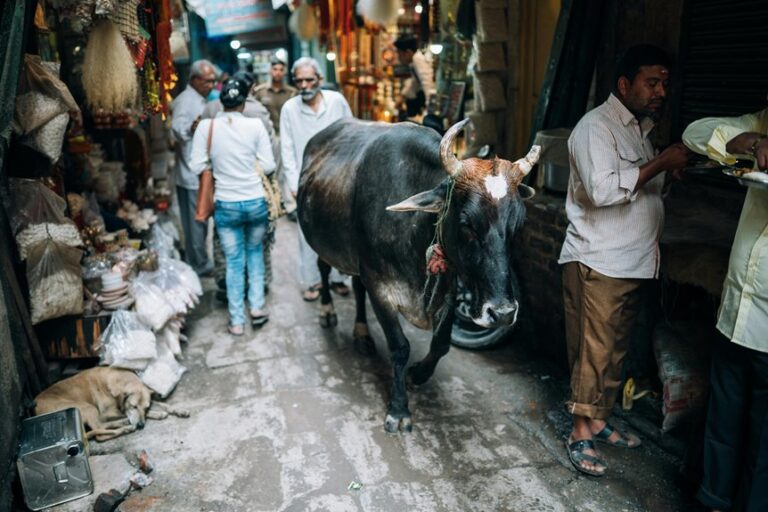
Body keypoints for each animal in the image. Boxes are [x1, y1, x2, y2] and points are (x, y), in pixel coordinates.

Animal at [297, 118, 539, 433]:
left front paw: (418, 374)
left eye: (519, 223)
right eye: (466, 222)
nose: (502, 313)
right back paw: (327, 312)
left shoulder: (446, 288)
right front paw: (399, 409)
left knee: (357, 287)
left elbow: (442, 343)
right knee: (324, 269)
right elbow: (400, 347)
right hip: (325, 245)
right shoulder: (381, 287)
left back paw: (362, 333)